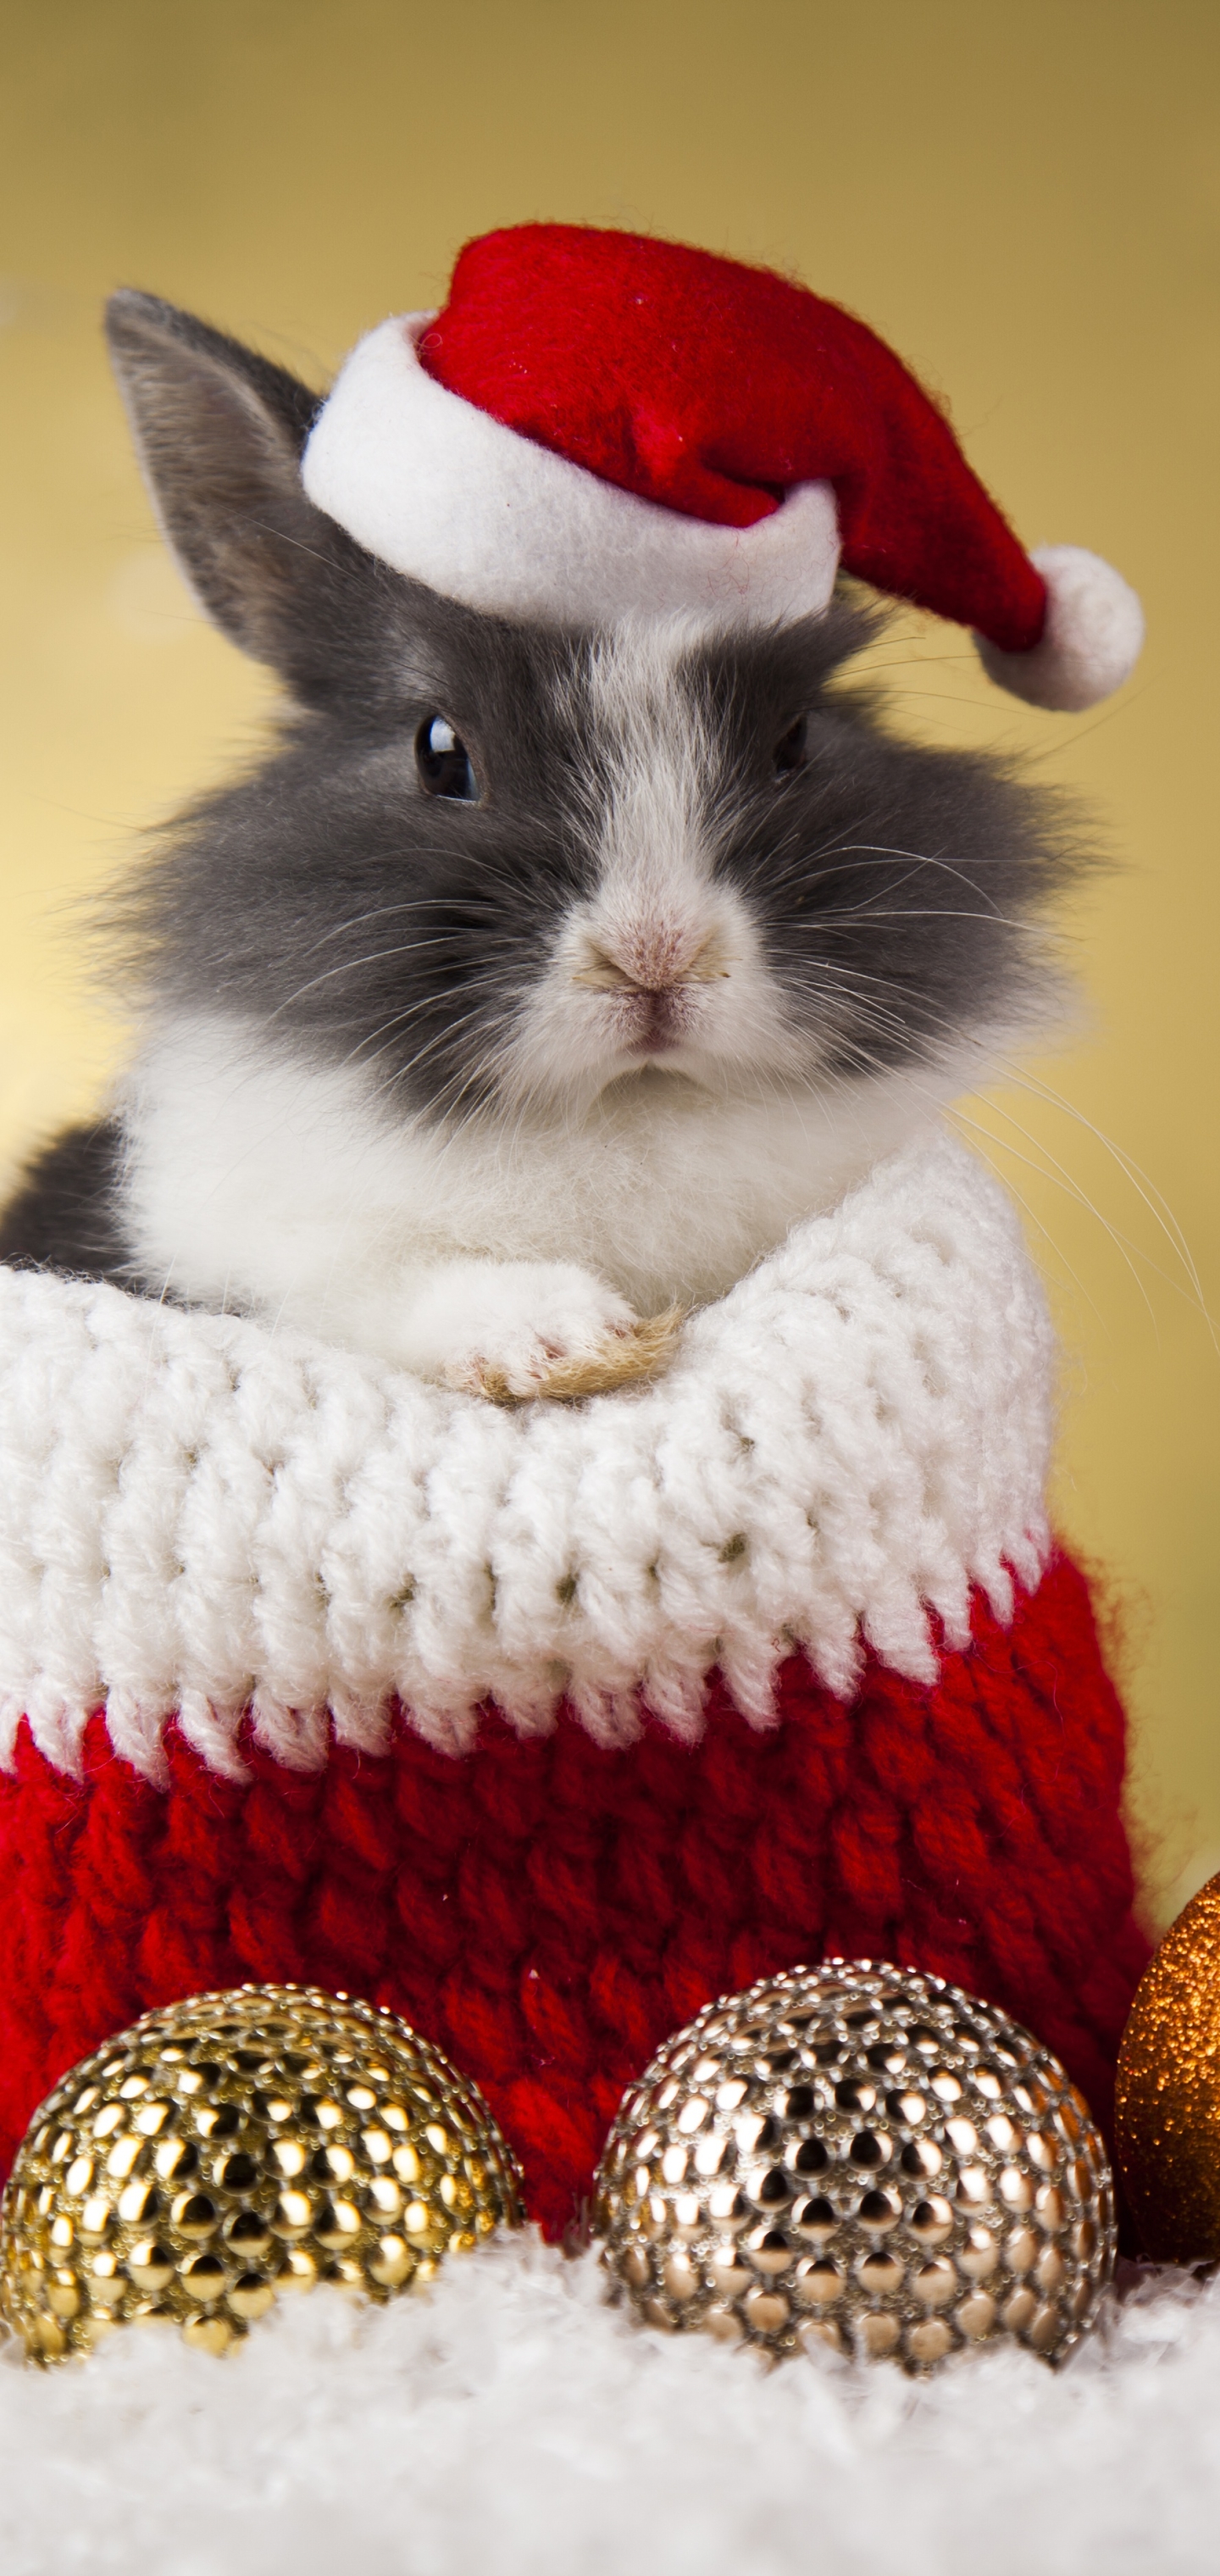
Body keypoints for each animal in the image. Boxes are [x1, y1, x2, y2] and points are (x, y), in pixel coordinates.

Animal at [0, 292, 1086, 1401]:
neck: (626, 1107)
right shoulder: (250, 1245)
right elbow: (386, 1282)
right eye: (440, 749)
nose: (655, 953)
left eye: (796, 738)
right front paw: (565, 1338)